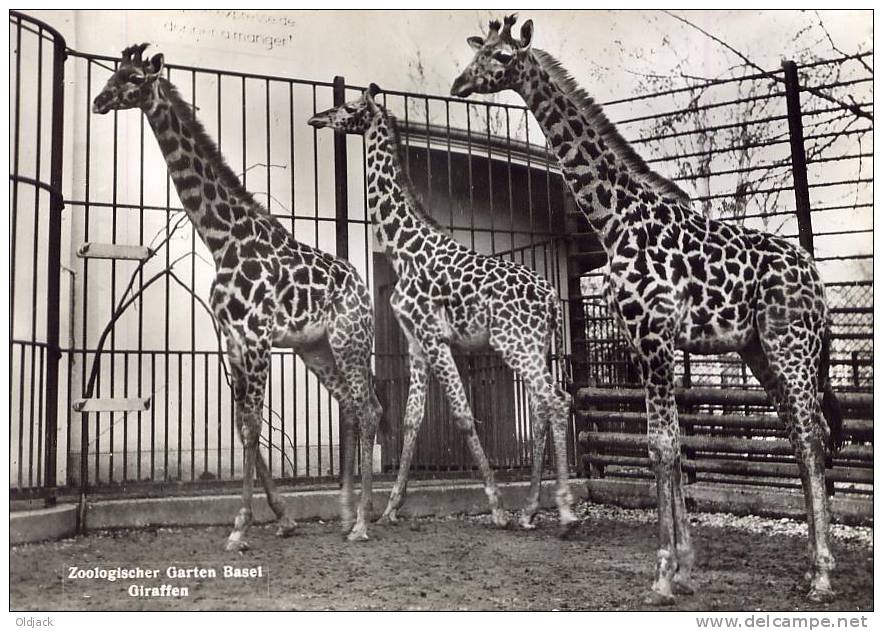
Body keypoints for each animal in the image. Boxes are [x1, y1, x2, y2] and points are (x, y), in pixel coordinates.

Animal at [93, 44, 384, 548]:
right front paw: (281, 518)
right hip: (316, 348)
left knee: (368, 410)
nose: (98, 100)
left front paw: (241, 527)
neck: (221, 237)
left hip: (350, 341)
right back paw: (348, 514)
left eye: (132, 77)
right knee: (351, 405)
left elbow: (251, 427)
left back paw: (364, 523)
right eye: (113, 71)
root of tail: (364, 290)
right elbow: (240, 423)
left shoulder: (255, 337)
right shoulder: (231, 338)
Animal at [310, 82, 580, 532]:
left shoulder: (434, 336)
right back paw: (530, 510)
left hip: (515, 344)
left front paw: (496, 506)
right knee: (544, 406)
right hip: (533, 347)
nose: (317, 118)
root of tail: (552, 303)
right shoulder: (416, 342)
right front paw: (391, 508)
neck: (402, 248)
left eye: (348, 107)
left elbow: (463, 415)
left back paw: (563, 511)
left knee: (556, 401)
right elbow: (412, 419)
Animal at [452, 16, 848, 608]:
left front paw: (662, 574)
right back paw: (809, 568)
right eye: (478, 53)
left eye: (501, 58)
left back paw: (823, 575)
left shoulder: (654, 335)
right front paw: (684, 567)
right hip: (757, 350)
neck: (615, 218)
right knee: (801, 433)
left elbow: (661, 446)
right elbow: (674, 447)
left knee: (809, 431)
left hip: (790, 343)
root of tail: (818, 279)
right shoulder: (646, 343)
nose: (458, 84)